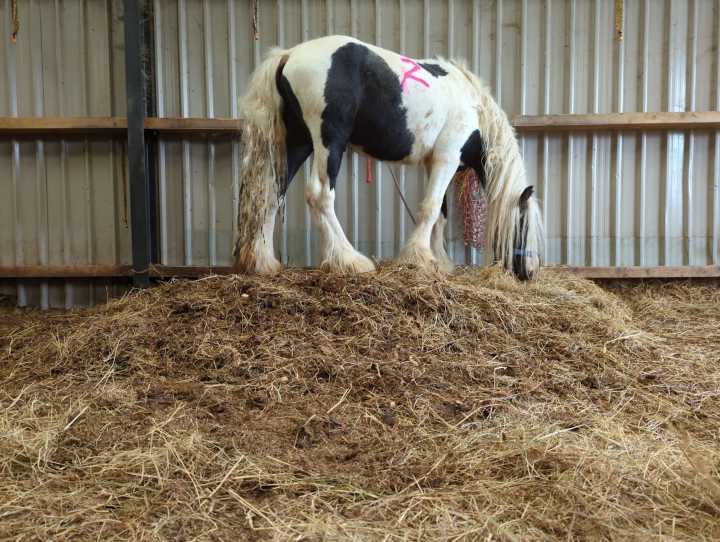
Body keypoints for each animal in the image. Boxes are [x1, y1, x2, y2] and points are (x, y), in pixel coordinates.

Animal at [232, 35, 544, 280]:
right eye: (524, 226)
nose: (528, 273)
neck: (474, 107)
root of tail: (288, 55)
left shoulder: (435, 162)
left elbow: (441, 214)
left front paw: (439, 261)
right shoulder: (447, 158)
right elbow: (431, 208)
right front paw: (419, 258)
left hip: (298, 143)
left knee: (272, 194)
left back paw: (263, 262)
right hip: (329, 142)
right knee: (320, 195)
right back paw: (350, 260)